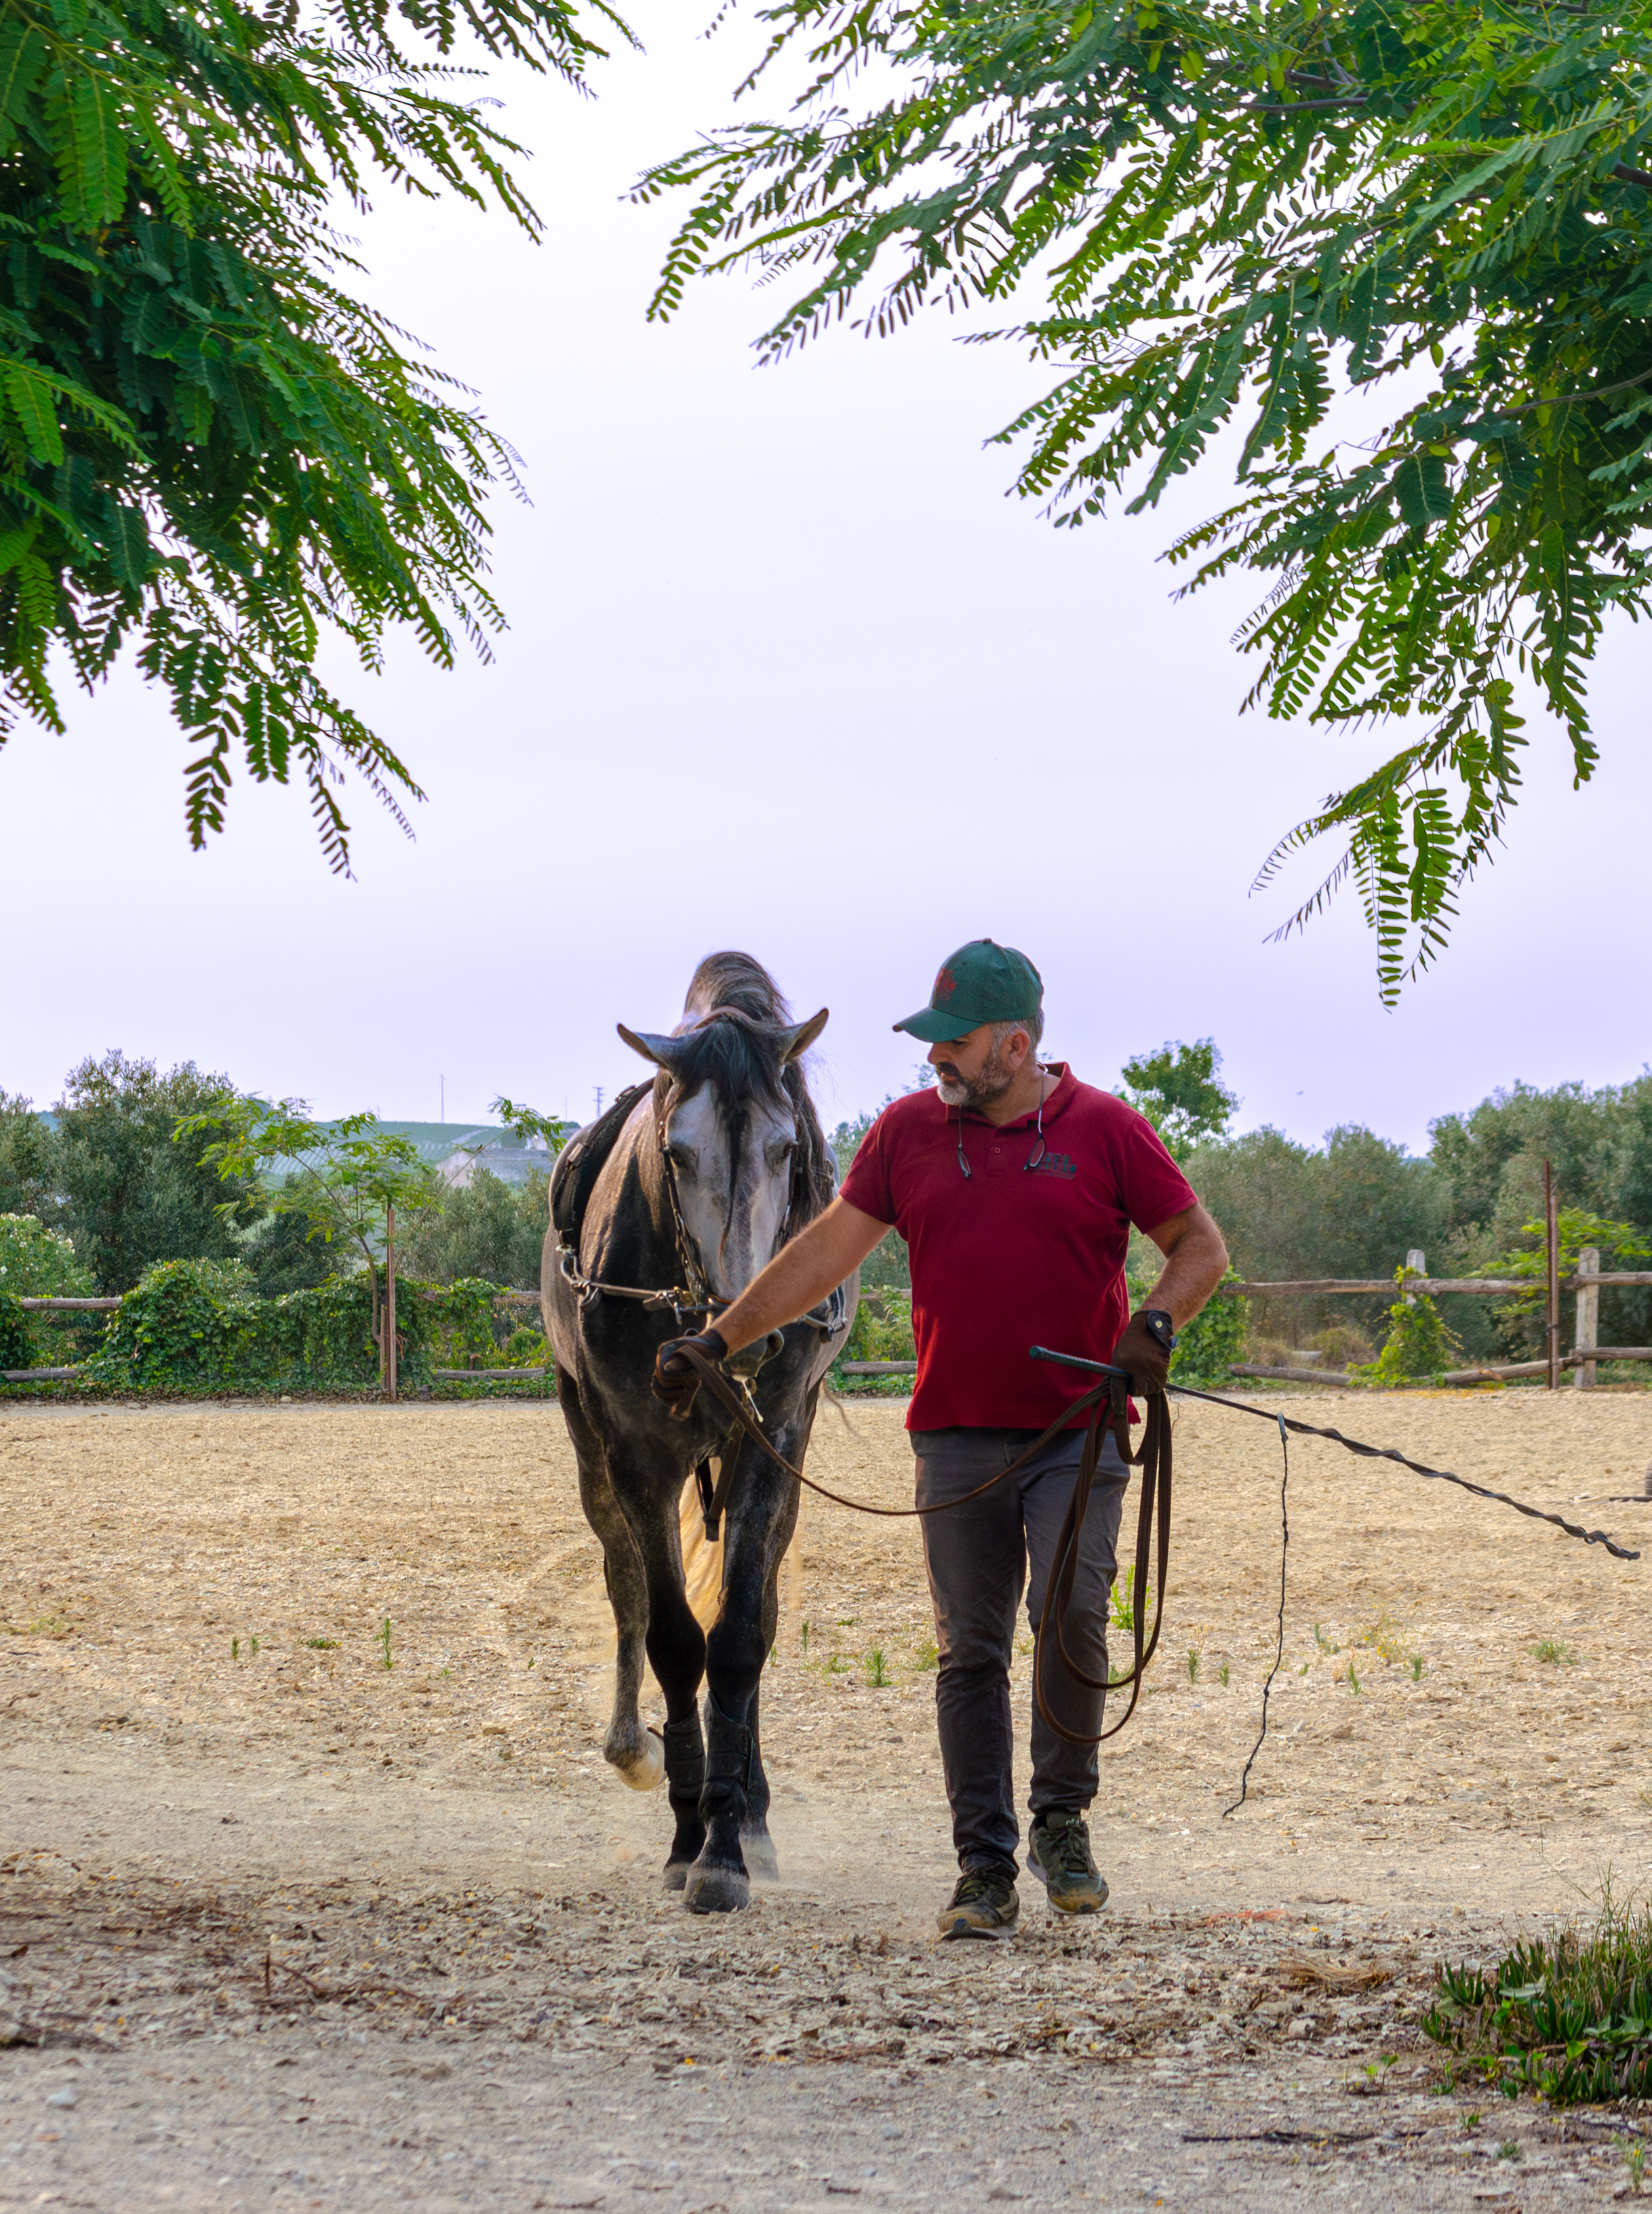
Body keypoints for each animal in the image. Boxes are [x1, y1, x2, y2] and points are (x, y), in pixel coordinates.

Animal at [542, 952, 857, 1913]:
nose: (744, 1334)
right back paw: (637, 1752)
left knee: (760, 1610)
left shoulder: (773, 1438)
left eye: (787, 1149)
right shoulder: (636, 1455)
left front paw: (729, 1839)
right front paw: (690, 1837)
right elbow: (675, 1639)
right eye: (676, 1153)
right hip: (592, 1450)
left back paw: (749, 1810)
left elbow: (742, 1636)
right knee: (625, 1585)